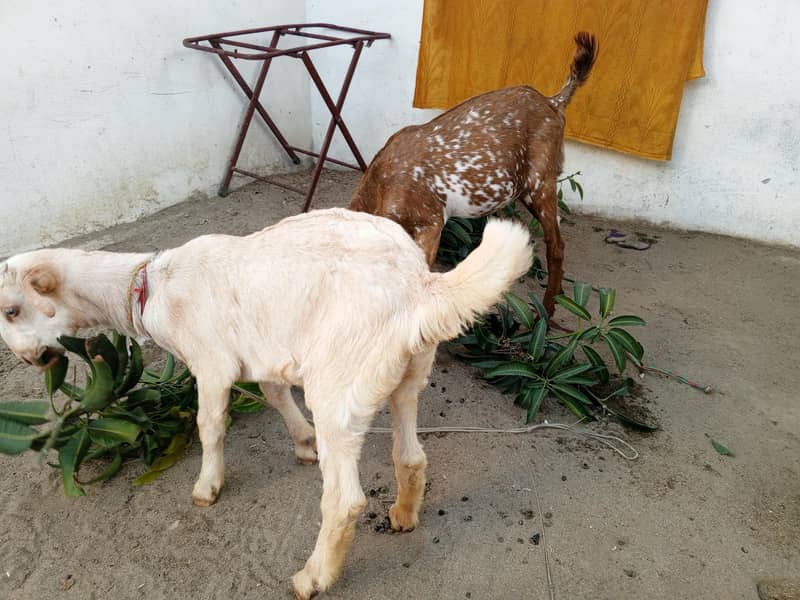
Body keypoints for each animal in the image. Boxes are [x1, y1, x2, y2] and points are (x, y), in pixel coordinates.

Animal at [0, 208, 532, 599]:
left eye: (11, 309)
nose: (28, 359)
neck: (149, 287)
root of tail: (417, 286)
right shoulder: (263, 353)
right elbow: (275, 394)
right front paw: (302, 442)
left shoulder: (212, 364)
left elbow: (210, 425)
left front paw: (207, 487)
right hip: (406, 373)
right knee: (412, 456)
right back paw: (403, 514)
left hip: (338, 385)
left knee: (345, 501)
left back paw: (312, 578)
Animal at [350, 32, 597, 317]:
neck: (380, 185)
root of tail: (553, 102)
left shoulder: (431, 221)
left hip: (540, 182)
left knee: (556, 246)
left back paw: (545, 313)